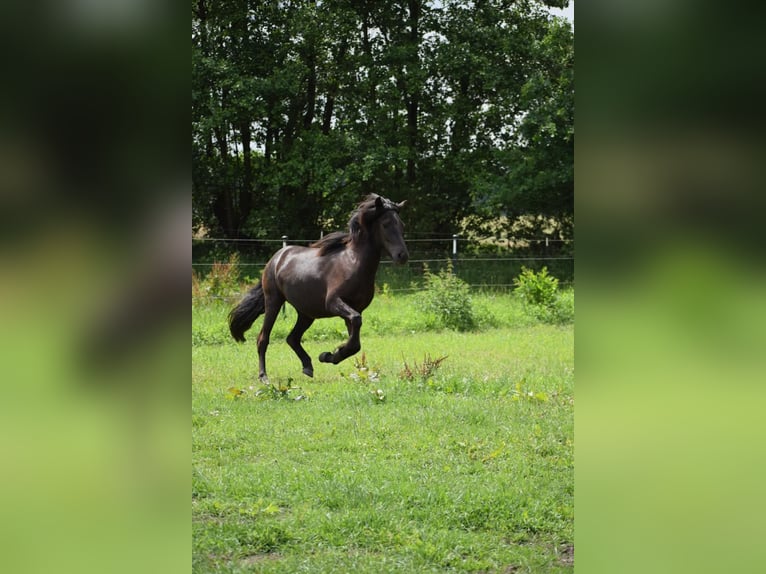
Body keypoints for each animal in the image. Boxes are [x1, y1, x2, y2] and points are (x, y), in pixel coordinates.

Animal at [228, 194, 408, 382]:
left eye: (401, 225)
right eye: (385, 223)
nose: (402, 256)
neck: (353, 263)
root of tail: (276, 258)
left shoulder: (354, 309)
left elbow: (355, 344)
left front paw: (329, 355)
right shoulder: (334, 303)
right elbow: (355, 325)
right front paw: (330, 354)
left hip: (306, 313)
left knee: (292, 338)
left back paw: (307, 367)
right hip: (274, 302)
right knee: (263, 338)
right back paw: (264, 376)